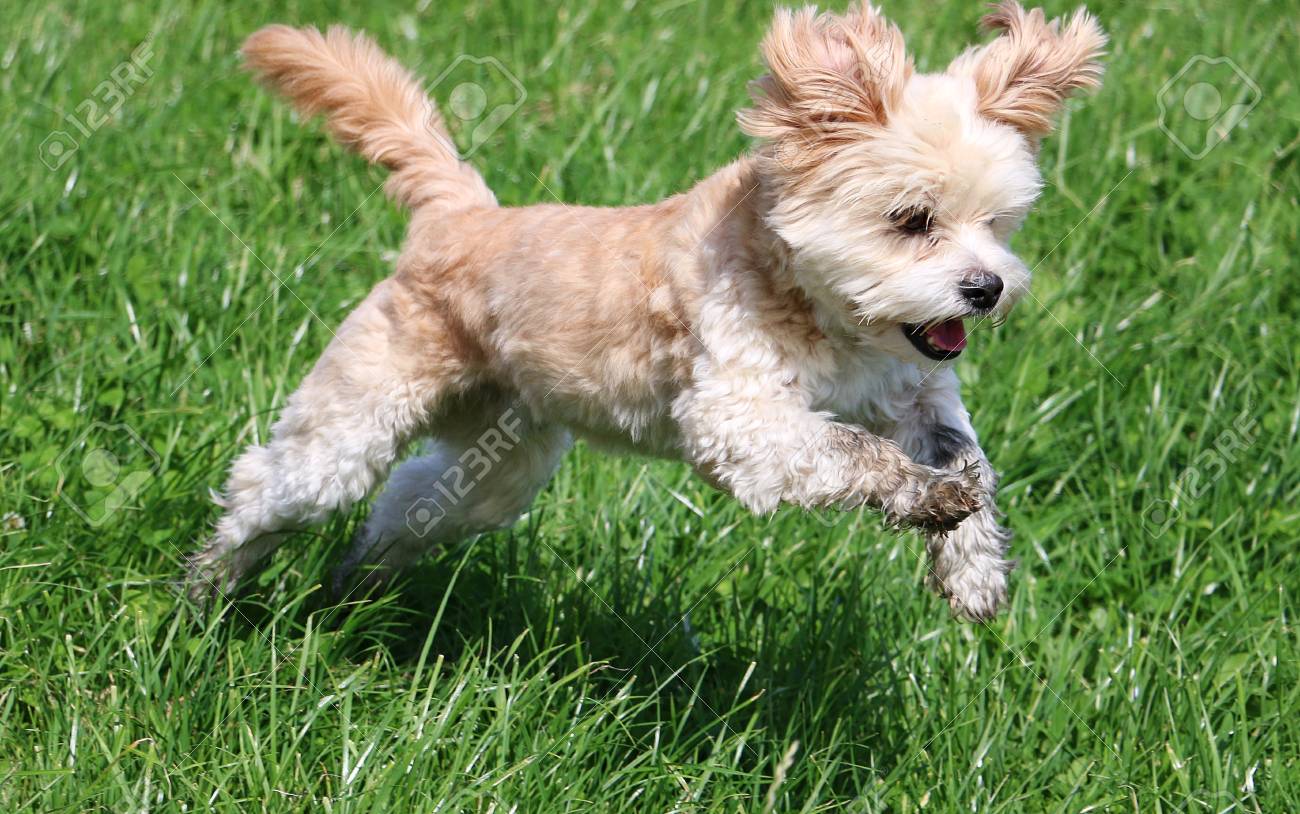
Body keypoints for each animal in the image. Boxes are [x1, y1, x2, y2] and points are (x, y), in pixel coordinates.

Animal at [189, 1, 1105, 621]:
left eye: (997, 224)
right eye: (912, 220)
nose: (985, 288)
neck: (820, 308)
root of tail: (460, 214)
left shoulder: (912, 391)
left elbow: (966, 457)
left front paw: (973, 566)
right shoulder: (740, 419)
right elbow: (849, 450)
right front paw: (923, 497)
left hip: (498, 458)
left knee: (408, 505)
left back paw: (355, 588)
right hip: (355, 419)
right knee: (269, 488)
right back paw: (205, 595)